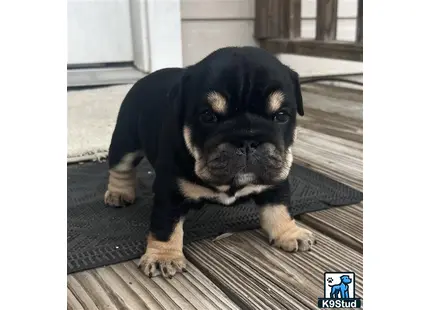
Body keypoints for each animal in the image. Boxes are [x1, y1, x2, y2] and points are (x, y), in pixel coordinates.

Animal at [104, 46, 316, 278]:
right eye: (207, 116)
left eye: (281, 116)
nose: (247, 140)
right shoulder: (169, 190)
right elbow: (165, 225)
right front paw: (163, 256)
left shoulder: (275, 180)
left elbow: (279, 208)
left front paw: (289, 232)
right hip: (125, 141)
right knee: (121, 168)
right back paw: (119, 193)